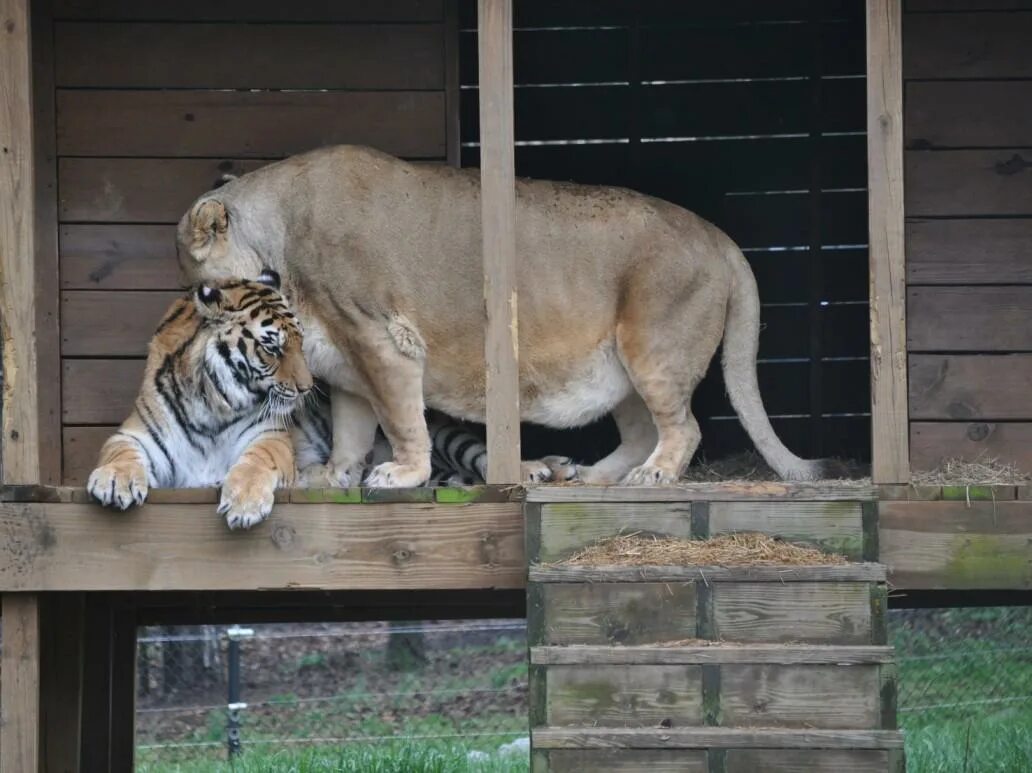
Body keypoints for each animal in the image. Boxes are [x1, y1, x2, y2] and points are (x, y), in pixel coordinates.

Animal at [87, 268, 309, 528]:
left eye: (301, 342)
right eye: (272, 349)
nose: (308, 387)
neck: (212, 407)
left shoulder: (270, 436)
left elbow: (258, 460)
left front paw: (244, 502)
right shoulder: (138, 434)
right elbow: (120, 452)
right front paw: (114, 480)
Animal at [175, 141, 821, 485]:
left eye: (204, 290)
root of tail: (719, 237)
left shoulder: (380, 338)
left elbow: (399, 418)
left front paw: (402, 474)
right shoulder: (346, 357)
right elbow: (354, 430)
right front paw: (335, 476)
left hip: (653, 349)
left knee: (681, 427)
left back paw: (652, 475)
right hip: (619, 366)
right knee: (642, 430)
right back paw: (588, 476)